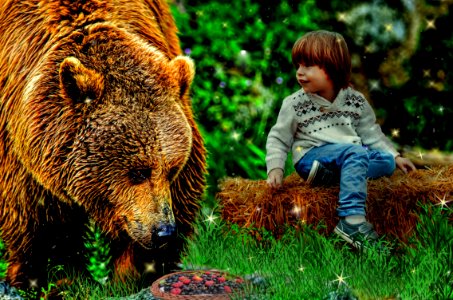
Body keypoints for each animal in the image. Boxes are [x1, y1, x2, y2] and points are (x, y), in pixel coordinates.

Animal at [0, 0, 205, 290]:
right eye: (138, 172)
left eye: (172, 169)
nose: (163, 231)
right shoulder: (20, 146)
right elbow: (35, 217)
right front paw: (48, 277)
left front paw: (135, 273)